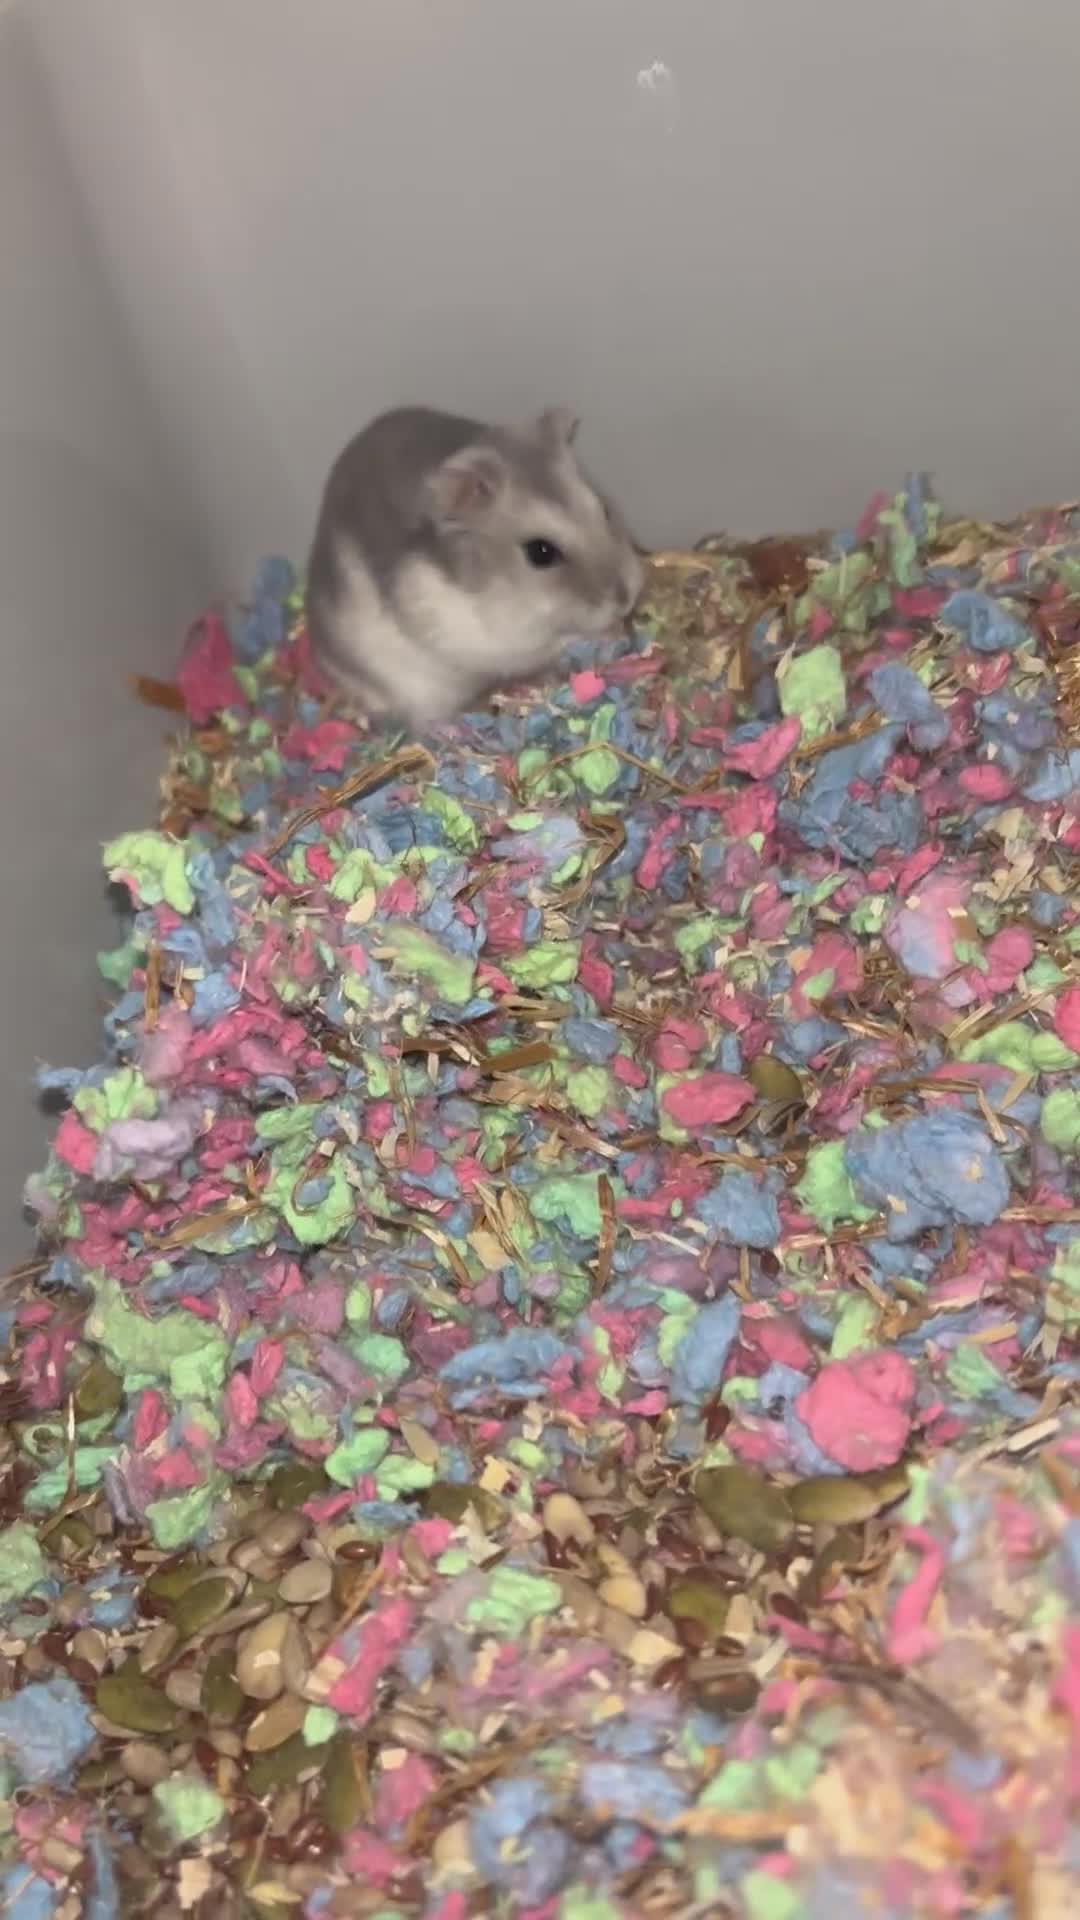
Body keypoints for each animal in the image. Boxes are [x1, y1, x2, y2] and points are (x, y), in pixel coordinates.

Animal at [304, 405, 643, 733]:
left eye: (604, 509)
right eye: (540, 553)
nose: (626, 599)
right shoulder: (499, 641)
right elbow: (554, 641)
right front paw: (610, 633)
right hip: (409, 688)